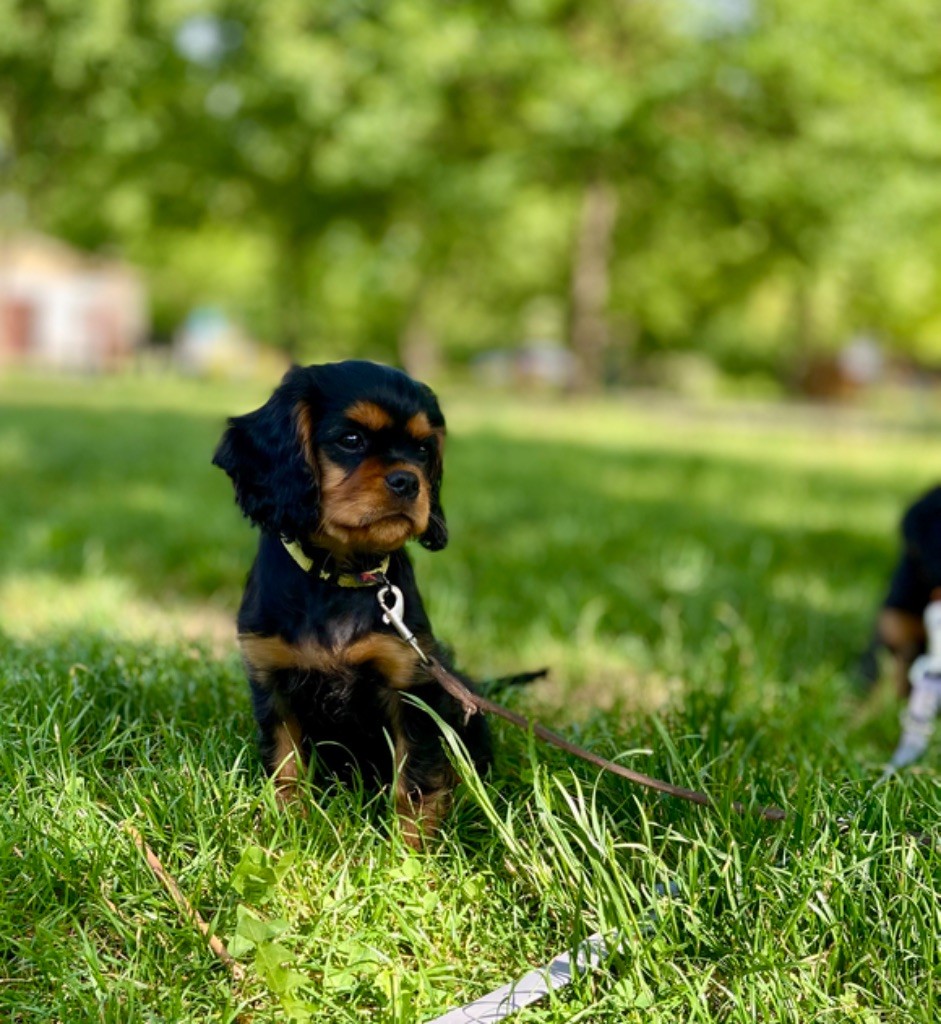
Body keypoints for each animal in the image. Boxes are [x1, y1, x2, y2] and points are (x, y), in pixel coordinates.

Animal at [214, 364, 493, 843]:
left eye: (423, 449)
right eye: (351, 439)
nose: (408, 481)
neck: (339, 575)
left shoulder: (409, 683)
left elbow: (415, 781)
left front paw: (412, 851)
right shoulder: (273, 679)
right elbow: (286, 767)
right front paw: (289, 828)